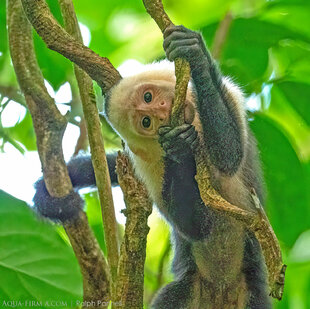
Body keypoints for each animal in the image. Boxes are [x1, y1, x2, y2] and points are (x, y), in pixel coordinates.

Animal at [34, 25, 272, 308]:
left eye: (148, 96)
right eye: (146, 122)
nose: (161, 112)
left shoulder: (232, 97)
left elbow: (229, 155)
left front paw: (196, 56)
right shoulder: (149, 165)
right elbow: (195, 227)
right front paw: (180, 148)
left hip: (252, 290)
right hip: (189, 288)